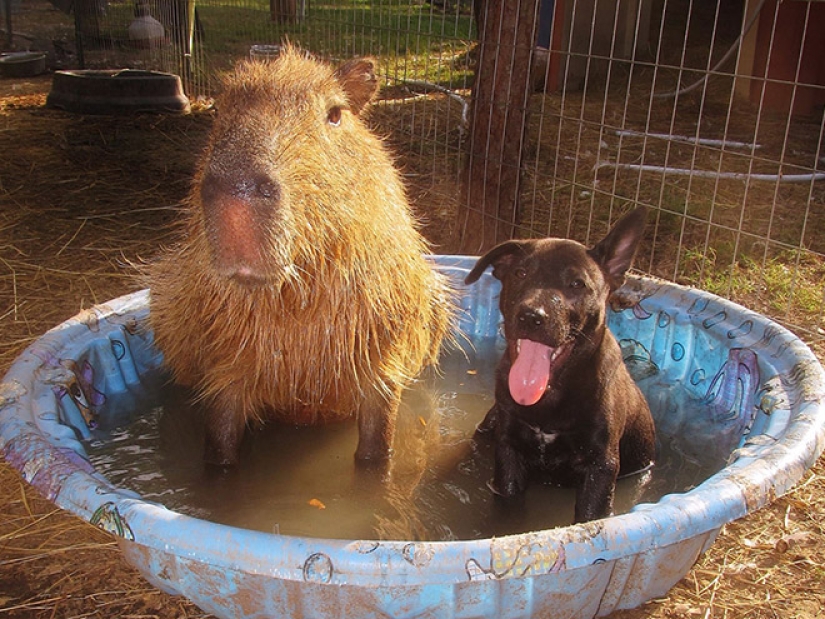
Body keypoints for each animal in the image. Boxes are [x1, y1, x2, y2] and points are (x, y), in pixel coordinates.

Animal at [466, 208, 652, 524]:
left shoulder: (600, 466)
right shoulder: (509, 451)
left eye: (577, 284)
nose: (531, 316)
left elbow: (588, 516)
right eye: (520, 273)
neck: (550, 396)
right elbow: (509, 506)